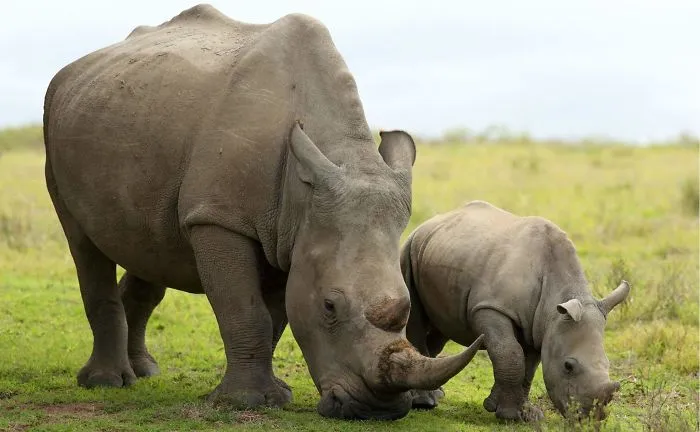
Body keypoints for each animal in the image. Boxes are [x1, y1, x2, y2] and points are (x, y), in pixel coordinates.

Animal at [42, 4, 483, 420]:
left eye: (408, 302)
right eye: (329, 306)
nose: (377, 410)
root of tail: (73, 69)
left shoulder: (289, 234)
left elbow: (274, 314)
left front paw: (274, 396)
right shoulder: (219, 218)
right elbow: (245, 309)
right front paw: (247, 402)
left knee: (150, 247)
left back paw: (145, 372)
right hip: (59, 129)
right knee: (84, 243)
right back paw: (106, 383)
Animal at [402, 200, 630, 421]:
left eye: (609, 364)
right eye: (568, 366)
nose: (591, 419)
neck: (557, 300)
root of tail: (428, 223)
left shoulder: (539, 326)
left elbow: (528, 367)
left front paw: (523, 413)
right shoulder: (492, 308)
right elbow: (510, 354)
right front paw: (509, 415)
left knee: (441, 329)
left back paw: (436, 393)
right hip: (409, 251)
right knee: (416, 319)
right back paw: (424, 402)